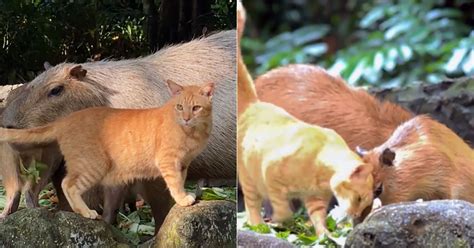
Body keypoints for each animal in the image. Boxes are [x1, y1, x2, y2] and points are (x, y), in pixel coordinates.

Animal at [0, 80, 213, 219]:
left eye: (196, 108)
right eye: (179, 107)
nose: (186, 118)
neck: (192, 132)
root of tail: (66, 119)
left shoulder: (183, 164)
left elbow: (180, 181)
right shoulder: (168, 162)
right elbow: (175, 184)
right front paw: (183, 199)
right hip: (93, 166)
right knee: (67, 184)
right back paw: (86, 212)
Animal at [237, 39, 374, 235]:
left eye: (364, 203)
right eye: (359, 198)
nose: (356, 216)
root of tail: (253, 105)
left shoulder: (315, 199)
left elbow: (318, 219)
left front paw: (324, 235)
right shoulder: (269, 174)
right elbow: (281, 207)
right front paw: (279, 222)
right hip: (249, 178)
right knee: (252, 204)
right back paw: (258, 226)